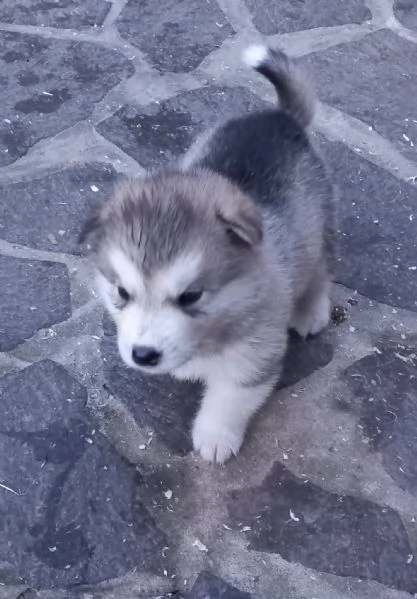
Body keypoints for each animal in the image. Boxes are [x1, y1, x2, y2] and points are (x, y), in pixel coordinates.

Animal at [80, 47, 334, 466]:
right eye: (122, 292)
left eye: (191, 296)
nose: (144, 355)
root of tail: (280, 116)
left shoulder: (252, 355)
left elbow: (229, 399)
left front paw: (215, 437)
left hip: (318, 228)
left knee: (319, 271)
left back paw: (311, 312)